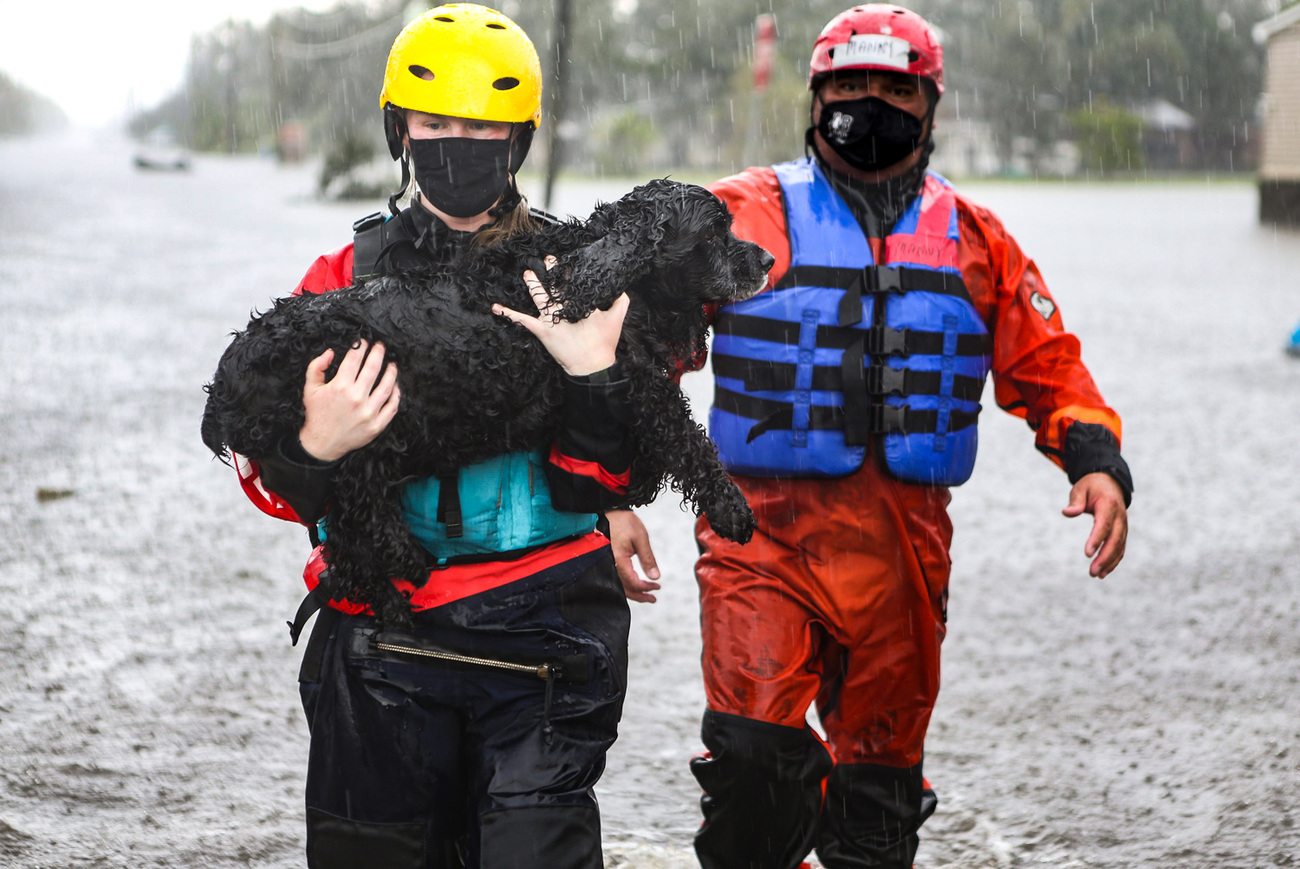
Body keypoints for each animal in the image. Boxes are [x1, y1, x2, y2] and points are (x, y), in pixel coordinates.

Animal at [202, 179, 769, 624]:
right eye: (713, 233)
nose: (766, 259)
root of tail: (229, 372)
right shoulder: (640, 379)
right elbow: (688, 440)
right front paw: (731, 508)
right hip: (358, 436)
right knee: (347, 522)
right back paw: (403, 569)